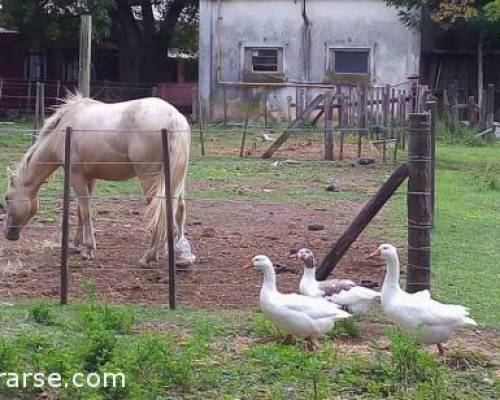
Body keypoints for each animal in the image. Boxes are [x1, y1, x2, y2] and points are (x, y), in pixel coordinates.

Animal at [2, 93, 196, 268]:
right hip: (176, 179)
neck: (62, 131)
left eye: (7, 198)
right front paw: (76, 245)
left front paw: (88, 249)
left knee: (161, 211)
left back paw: (148, 256)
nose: (7, 234)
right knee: (179, 210)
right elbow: (80, 211)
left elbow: (85, 210)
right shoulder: (89, 178)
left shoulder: (76, 176)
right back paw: (181, 256)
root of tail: (174, 117)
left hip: (150, 179)